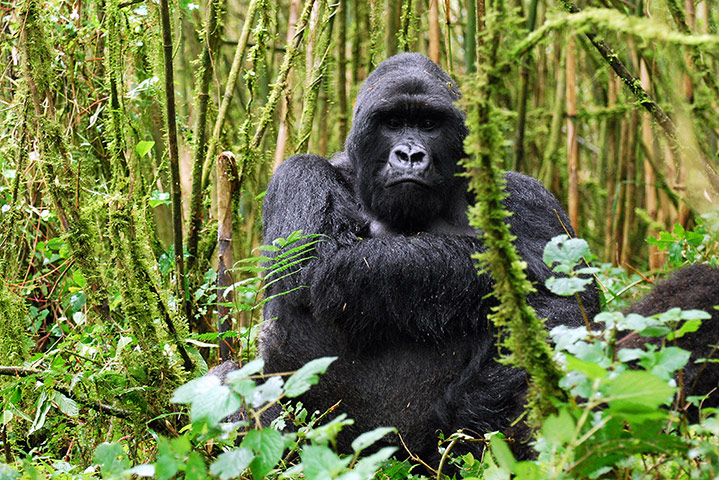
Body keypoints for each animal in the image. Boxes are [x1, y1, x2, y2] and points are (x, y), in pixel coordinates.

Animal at [246, 52, 596, 464]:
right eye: (393, 123)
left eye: (428, 124)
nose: (410, 155)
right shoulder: (297, 175)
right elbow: (319, 264)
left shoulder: (526, 195)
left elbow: (568, 306)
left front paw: (474, 414)